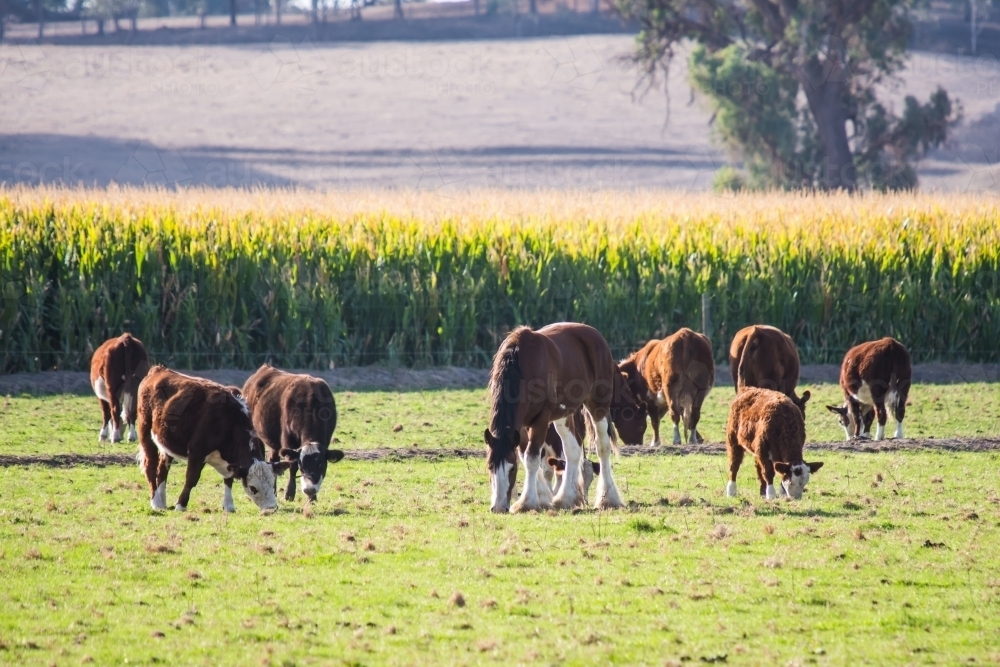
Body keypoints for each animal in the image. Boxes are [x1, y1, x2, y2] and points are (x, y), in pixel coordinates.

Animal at [136, 368, 290, 516]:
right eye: (253, 488)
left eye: (272, 483)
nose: (271, 508)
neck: (228, 421)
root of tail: (158, 369)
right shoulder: (197, 452)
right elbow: (191, 478)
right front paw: (181, 505)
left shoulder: (230, 462)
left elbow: (229, 479)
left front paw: (229, 505)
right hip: (145, 430)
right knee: (151, 466)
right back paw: (156, 502)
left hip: (165, 443)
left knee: (163, 469)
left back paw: (162, 502)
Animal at [241, 368, 344, 504]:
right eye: (302, 466)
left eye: (320, 464)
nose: (309, 490)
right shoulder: (288, 441)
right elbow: (292, 466)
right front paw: (289, 494)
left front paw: (312, 498)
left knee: (273, 460)